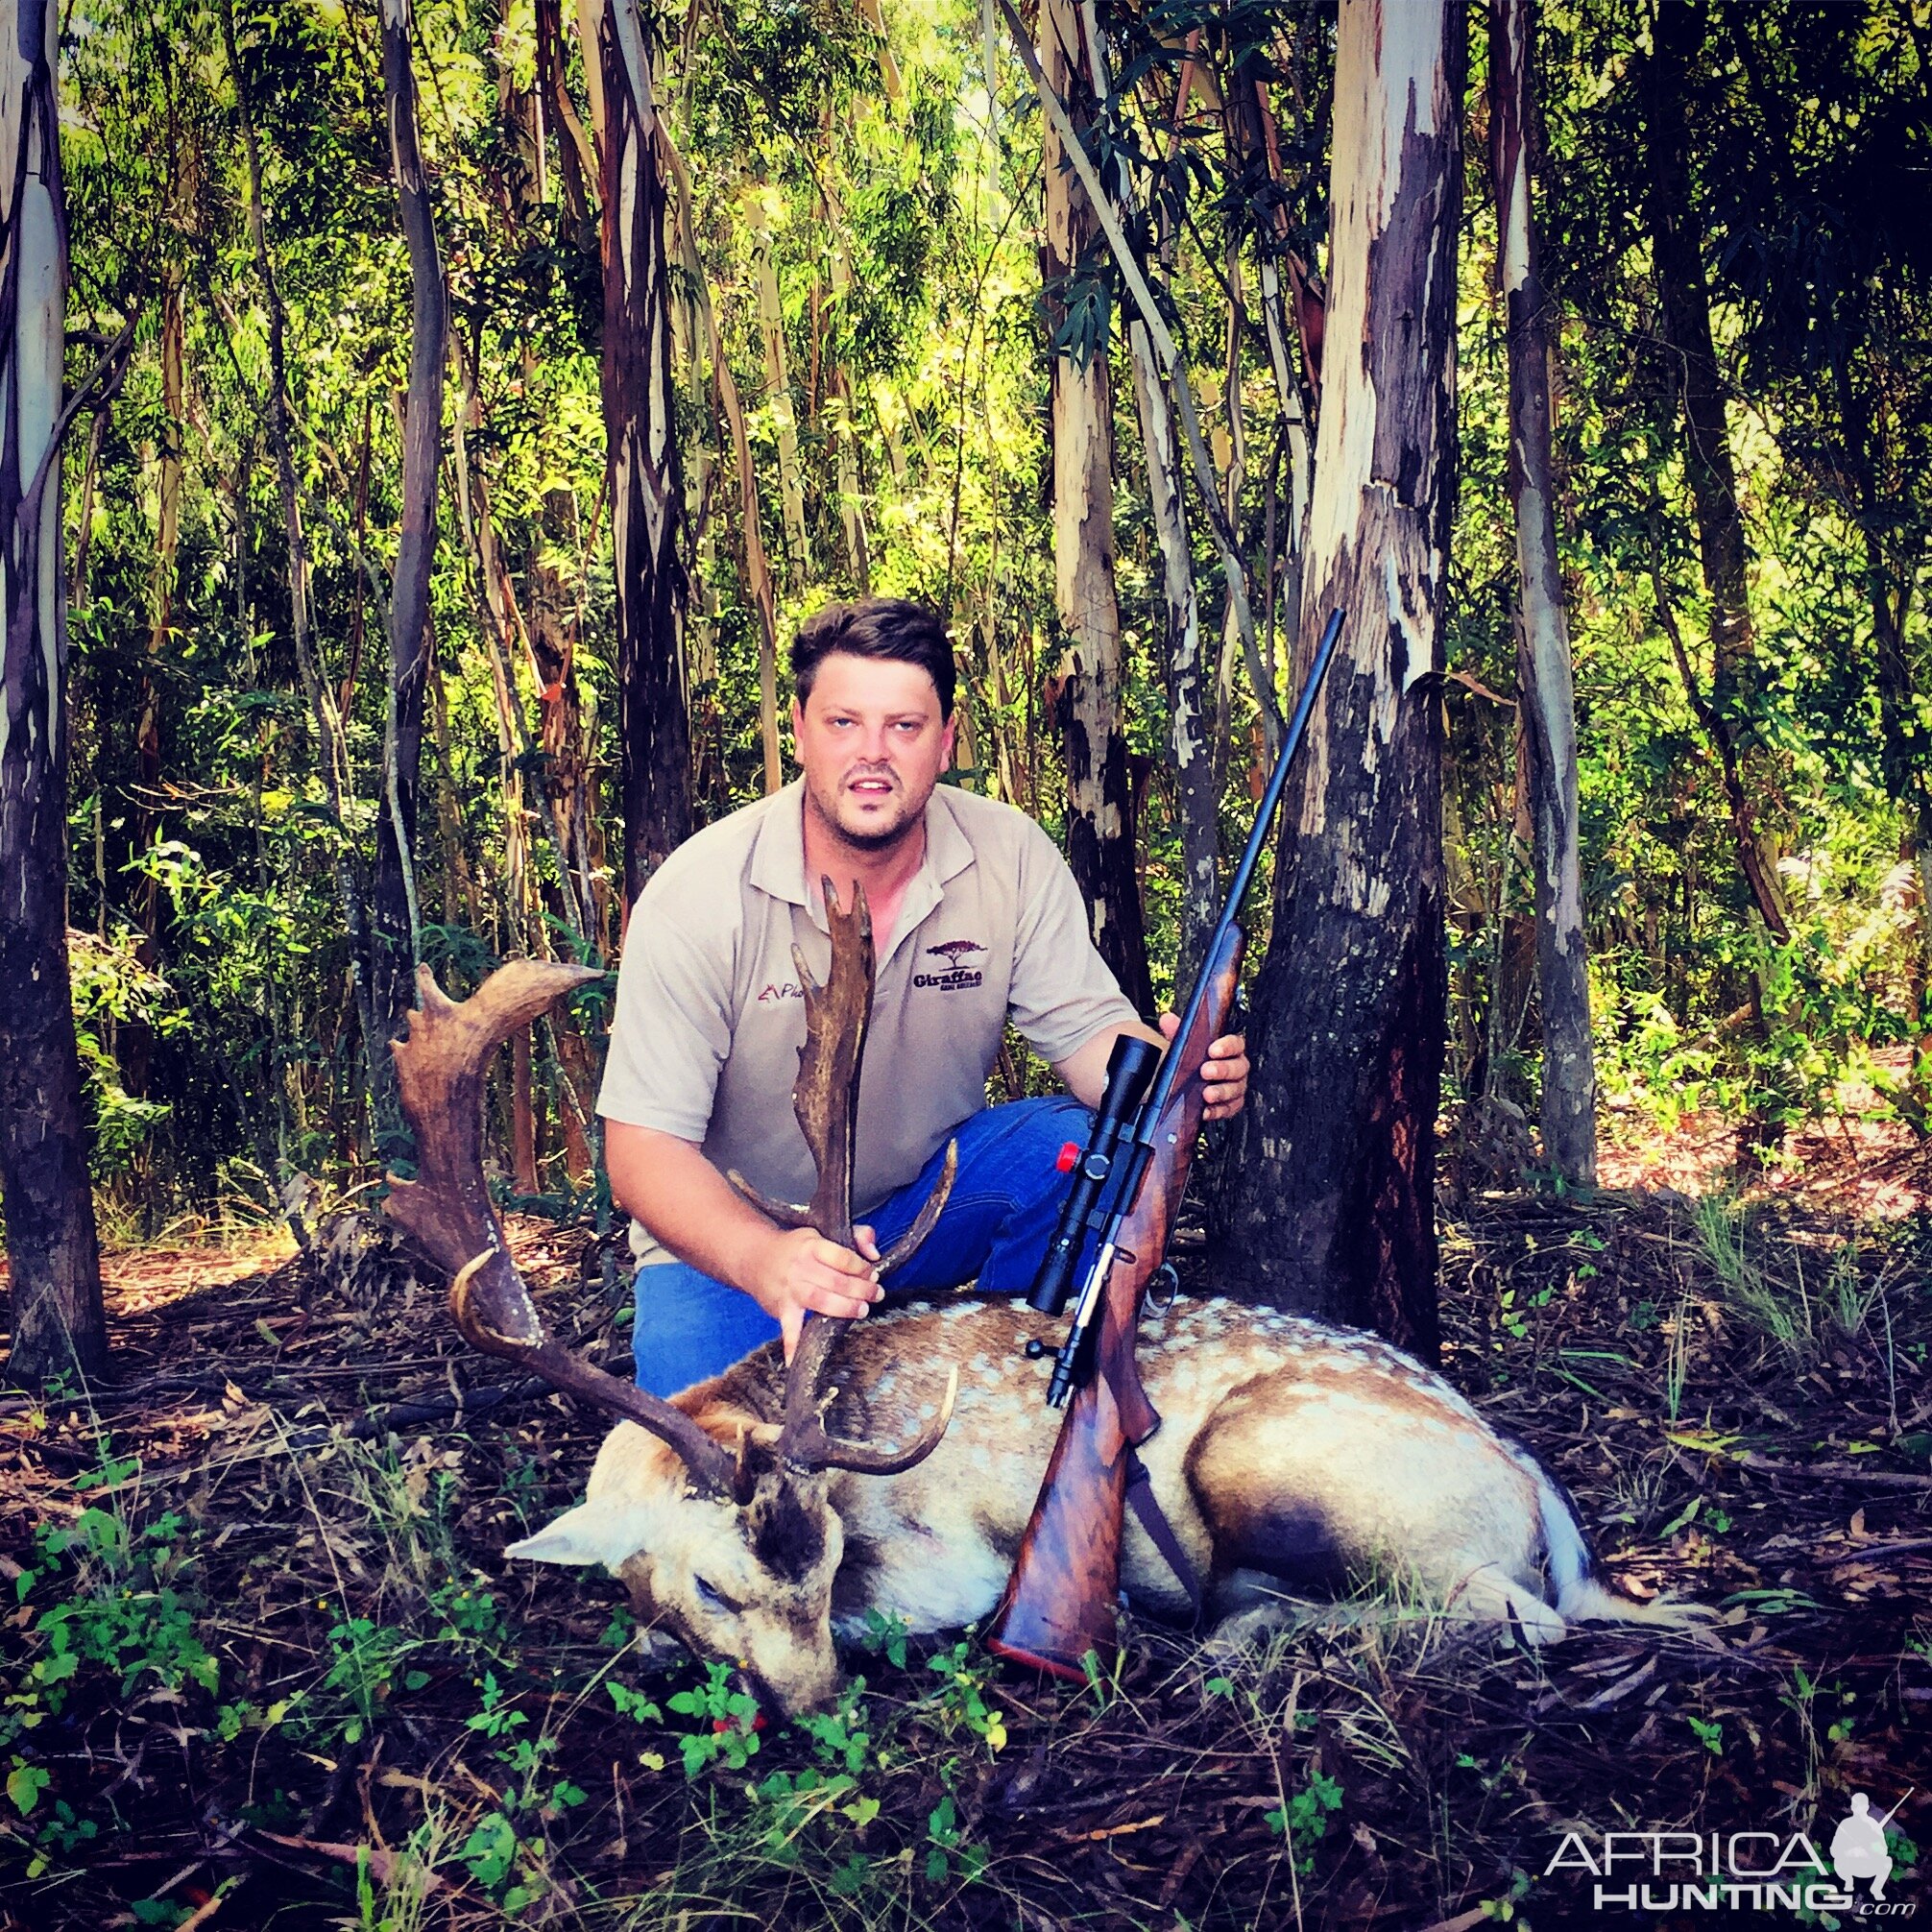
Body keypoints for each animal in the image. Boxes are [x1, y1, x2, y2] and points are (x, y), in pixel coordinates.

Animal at [388, 892, 1707, 1723]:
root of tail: (1539, 1489)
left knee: (1521, 1615)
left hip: (1287, 1465)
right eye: (715, 1582)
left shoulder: (951, 1563)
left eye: (829, 1564)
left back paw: (1237, 1634)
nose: (816, 1712)